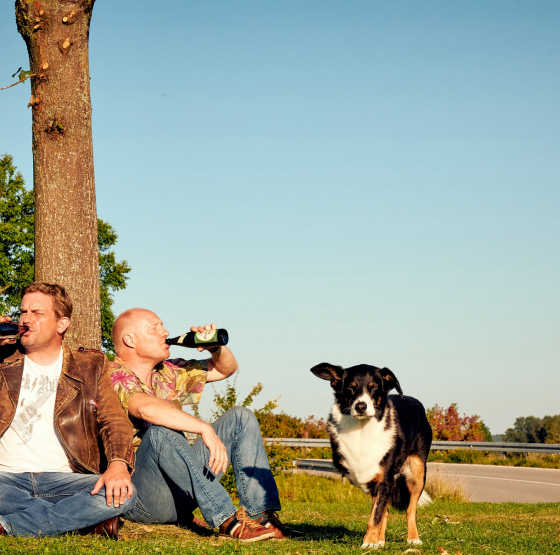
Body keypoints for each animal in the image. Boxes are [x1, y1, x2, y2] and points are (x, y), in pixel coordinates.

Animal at [310, 362, 434, 548]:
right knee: (386, 512)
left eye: (374, 387)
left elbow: (375, 516)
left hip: (417, 470)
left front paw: (368, 543)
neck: (362, 429)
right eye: (350, 387)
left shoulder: (384, 479)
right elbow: (379, 513)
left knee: (410, 509)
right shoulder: (373, 478)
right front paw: (374, 542)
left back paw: (413, 538)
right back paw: (381, 541)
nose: (361, 406)